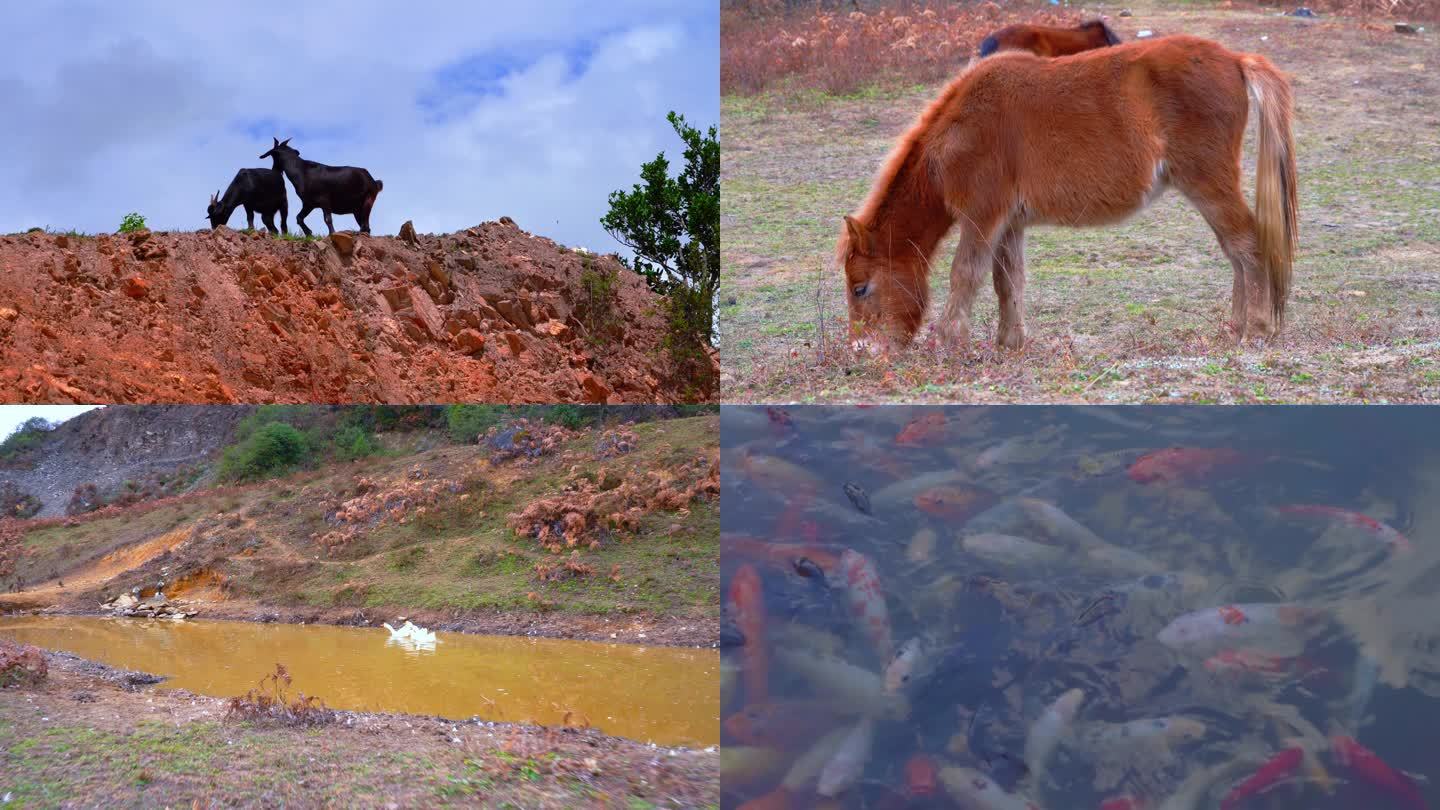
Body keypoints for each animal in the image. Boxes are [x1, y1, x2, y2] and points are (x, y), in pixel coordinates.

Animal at [840, 35, 1301, 350]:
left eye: (860, 288)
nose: (862, 350)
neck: (962, 127)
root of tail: (1236, 60)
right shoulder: (1009, 223)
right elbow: (1008, 280)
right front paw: (1010, 342)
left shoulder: (982, 216)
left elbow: (965, 274)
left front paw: (948, 342)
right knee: (1235, 251)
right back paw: (1236, 328)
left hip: (1208, 184)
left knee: (1247, 245)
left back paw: (1256, 330)